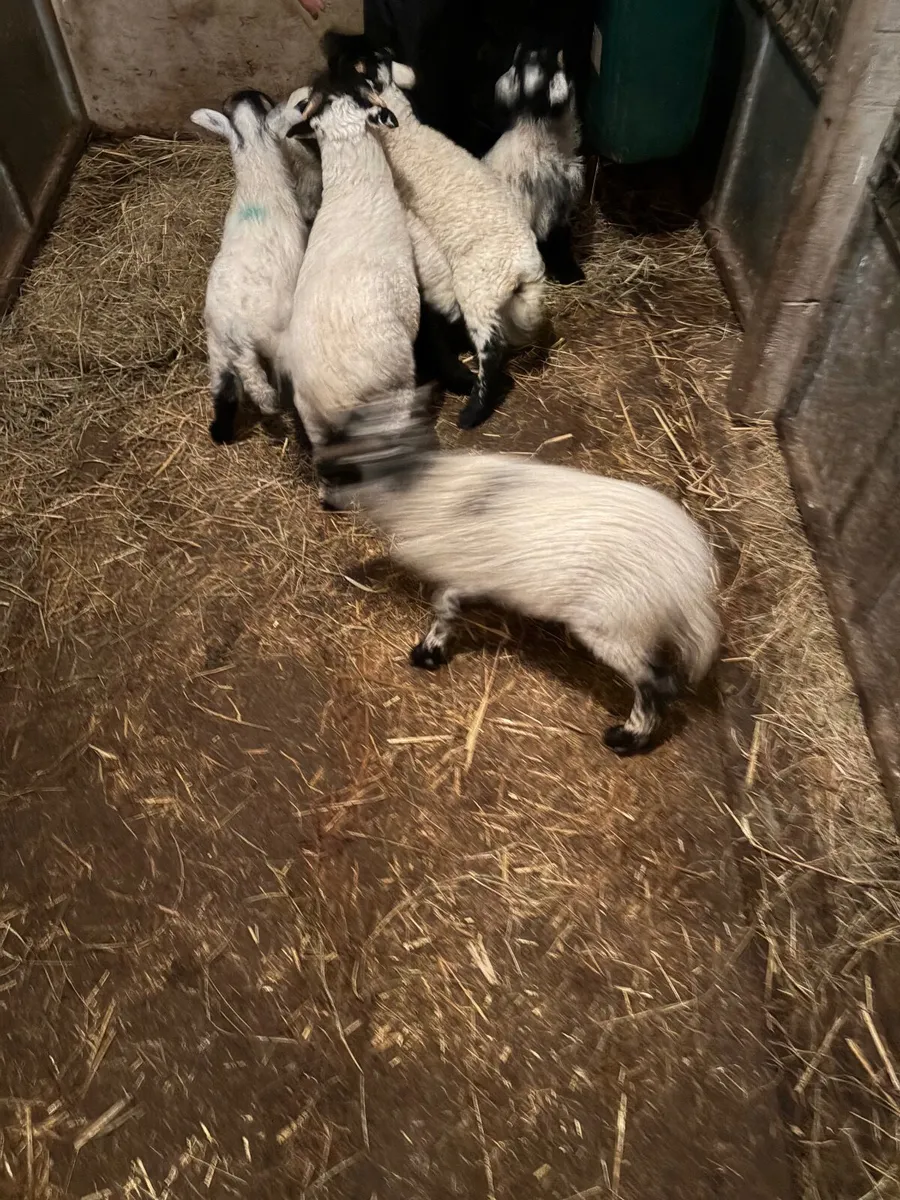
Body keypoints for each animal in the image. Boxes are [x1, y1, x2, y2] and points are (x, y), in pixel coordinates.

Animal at [191, 90, 316, 445]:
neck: (258, 180)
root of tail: (237, 340)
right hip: (272, 344)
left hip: (217, 352)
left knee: (224, 396)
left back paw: (221, 434)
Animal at [315, 394, 720, 754]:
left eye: (340, 470)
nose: (323, 502)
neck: (418, 491)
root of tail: (692, 579)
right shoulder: (471, 577)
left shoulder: (457, 573)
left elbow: (443, 610)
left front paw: (428, 653)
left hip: (614, 626)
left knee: (657, 685)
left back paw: (626, 740)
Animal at [323, 35, 547, 431]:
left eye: (345, 64)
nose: (327, 48)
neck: (407, 133)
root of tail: (527, 266)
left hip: (477, 286)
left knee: (492, 349)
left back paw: (473, 412)